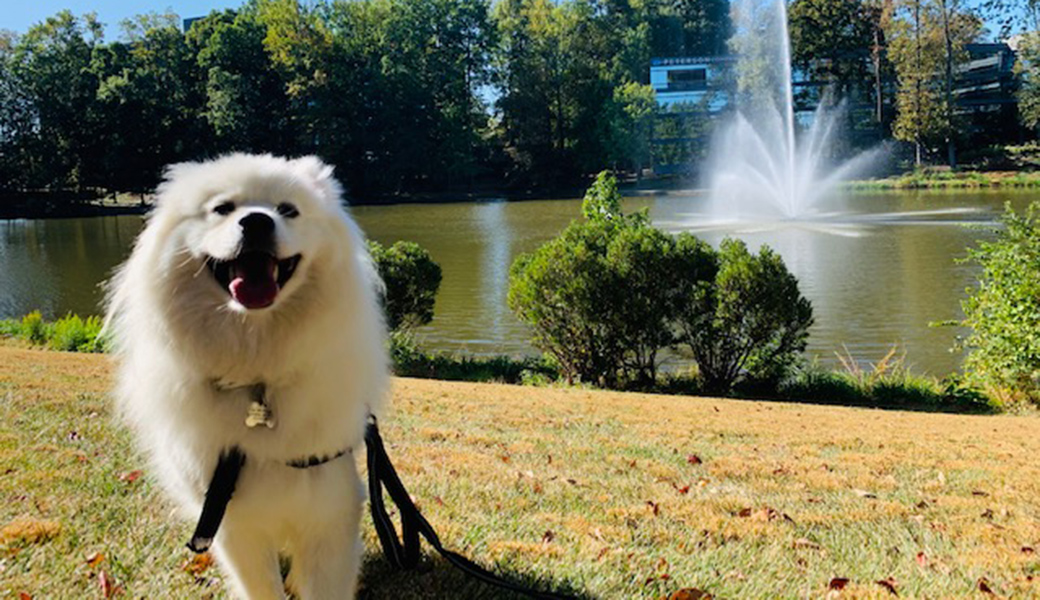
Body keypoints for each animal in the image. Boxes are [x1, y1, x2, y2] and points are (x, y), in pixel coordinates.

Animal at [104, 151, 386, 594]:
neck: (257, 372)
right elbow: (262, 588)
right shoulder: (229, 521)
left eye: (288, 210)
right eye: (222, 208)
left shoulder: (328, 512)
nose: (256, 222)